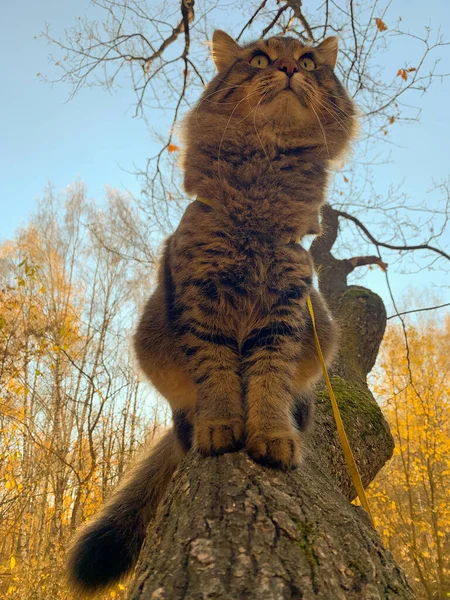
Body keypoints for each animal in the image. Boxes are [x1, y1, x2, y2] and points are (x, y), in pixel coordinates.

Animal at [67, 29, 356, 596]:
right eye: (260, 59)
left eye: (310, 61)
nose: (290, 68)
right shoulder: (202, 301)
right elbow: (219, 377)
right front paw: (222, 426)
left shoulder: (285, 308)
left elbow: (266, 382)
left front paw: (272, 435)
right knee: (184, 408)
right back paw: (194, 424)